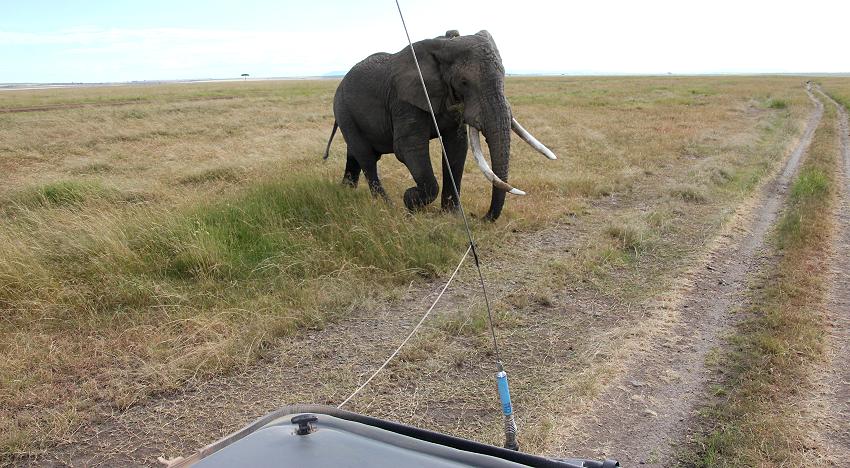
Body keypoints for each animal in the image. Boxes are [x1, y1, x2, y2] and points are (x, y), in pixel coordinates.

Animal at [322, 30, 552, 222]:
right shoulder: (404, 100)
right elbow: (409, 148)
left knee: (355, 154)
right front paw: (410, 200)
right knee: (367, 158)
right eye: (464, 82)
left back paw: (346, 191)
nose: (481, 218)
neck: (443, 45)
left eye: (504, 75)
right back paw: (386, 206)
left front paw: (451, 215)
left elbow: (456, 147)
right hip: (343, 109)